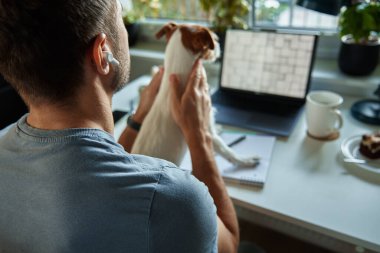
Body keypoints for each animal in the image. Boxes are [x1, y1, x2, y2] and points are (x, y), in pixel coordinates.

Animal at [131, 22, 258, 168]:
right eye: (214, 39)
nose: (219, 46)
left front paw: (219, 128)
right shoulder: (207, 131)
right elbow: (227, 150)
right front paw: (245, 160)